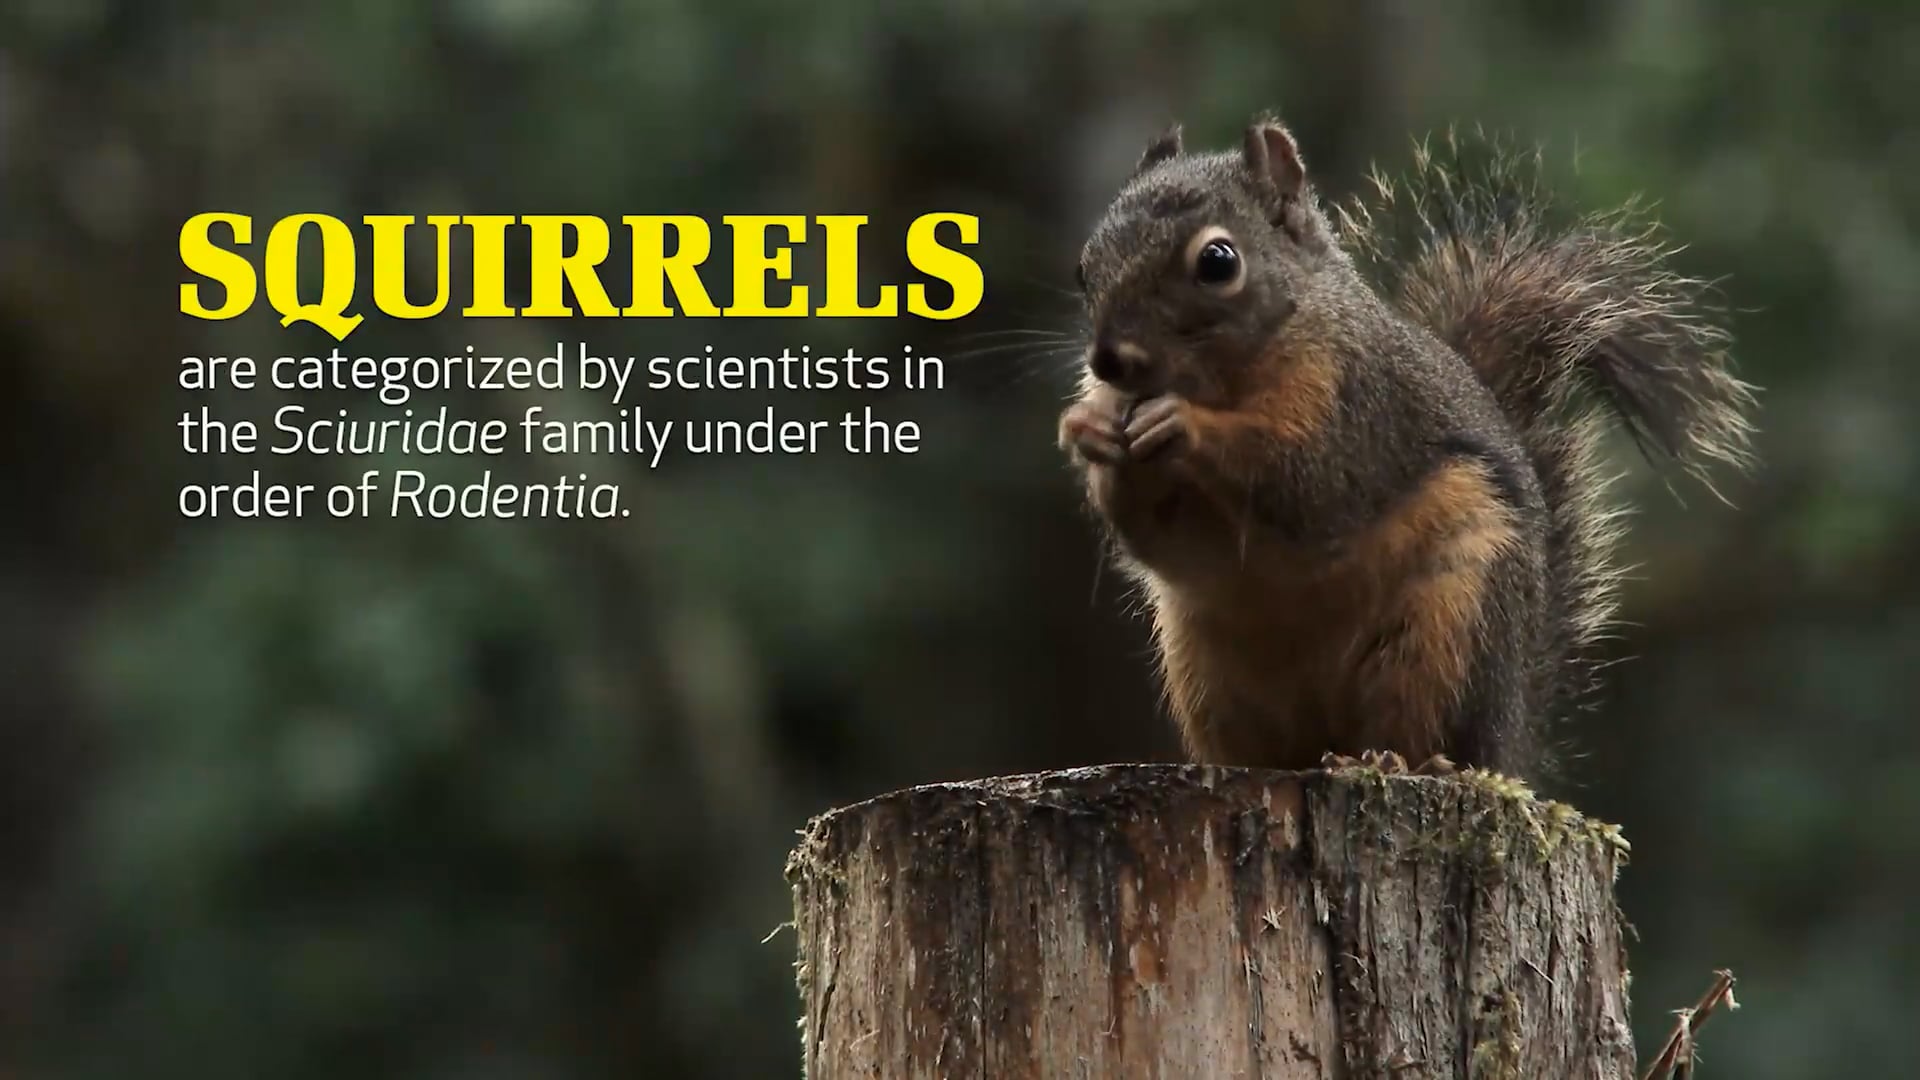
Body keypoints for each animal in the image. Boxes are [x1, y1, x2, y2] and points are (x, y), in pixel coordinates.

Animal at [1058, 115, 1756, 781]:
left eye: (1219, 262)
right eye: (1083, 267)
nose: (1110, 361)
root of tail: (1511, 737)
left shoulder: (1362, 408)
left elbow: (1304, 479)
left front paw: (1183, 424)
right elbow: (1164, 540)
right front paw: (1090, 430)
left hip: (1449, 629)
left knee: (1425, 729)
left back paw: (1391, 761)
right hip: (1205, 674)